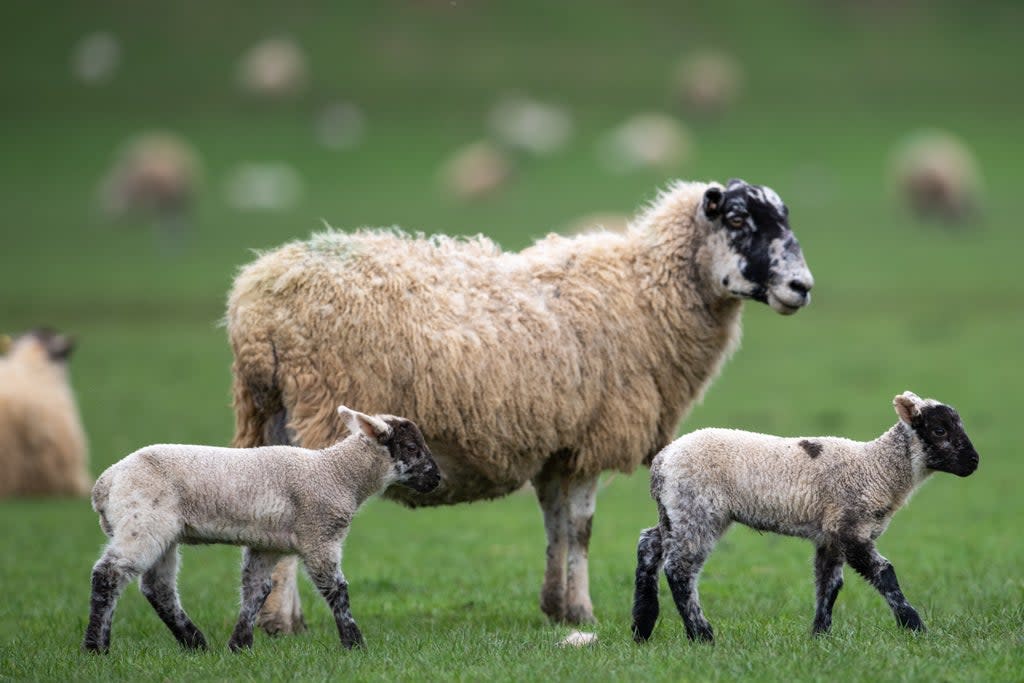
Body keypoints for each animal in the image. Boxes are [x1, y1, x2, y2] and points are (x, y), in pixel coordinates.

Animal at [82, 409, 440, 655]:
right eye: (411, 447)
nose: (436, 479)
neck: (336, 474)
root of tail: (104, 484)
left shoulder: (267, 544)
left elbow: (257, 589)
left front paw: (239, 646)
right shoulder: (319, 534)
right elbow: (336, 589)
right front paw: (354, 644)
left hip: (162, 531)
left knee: (158, 588)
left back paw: (195, 642)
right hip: (142, 521)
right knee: (109, 574)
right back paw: (96, 648)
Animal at [630, 393, 983, 643]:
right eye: (939, 429)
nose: (974, 462)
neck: (877, 468)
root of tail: (661, 462)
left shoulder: (831, 534)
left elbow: (829, 583)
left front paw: (819, 636)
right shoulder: (850, 527)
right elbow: (885, 574)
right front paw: (914, 627)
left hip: (675, 511)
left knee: (649, 544)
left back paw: (642, 627)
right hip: (698, 511)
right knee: (680, 570)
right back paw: (701, 635)